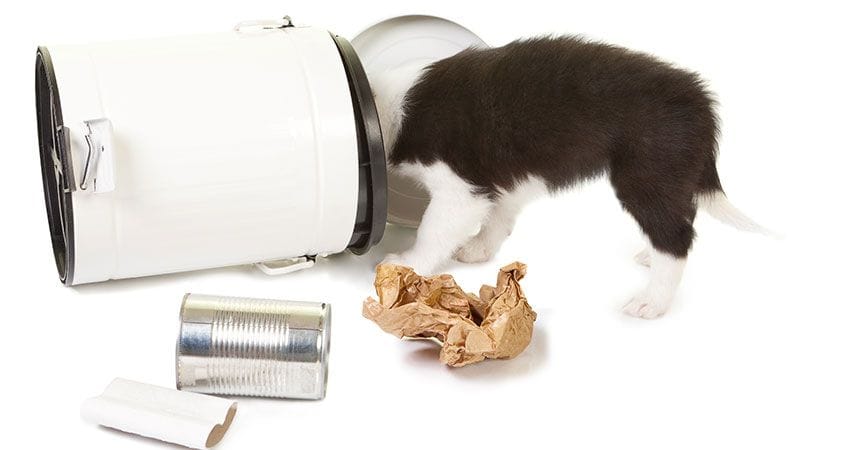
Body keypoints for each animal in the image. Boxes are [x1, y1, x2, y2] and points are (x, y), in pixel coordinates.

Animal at [372, 37, 768, 318]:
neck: (391, 107)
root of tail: (701, 101)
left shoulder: (458, 188)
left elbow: (433, 230)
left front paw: (407, 264)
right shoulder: (502, 175)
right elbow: (499, 213)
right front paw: (479, 248)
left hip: (646, 173)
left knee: (675, 236)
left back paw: (651, 301)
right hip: (671, 173)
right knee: (681, 216)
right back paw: (648, 255)